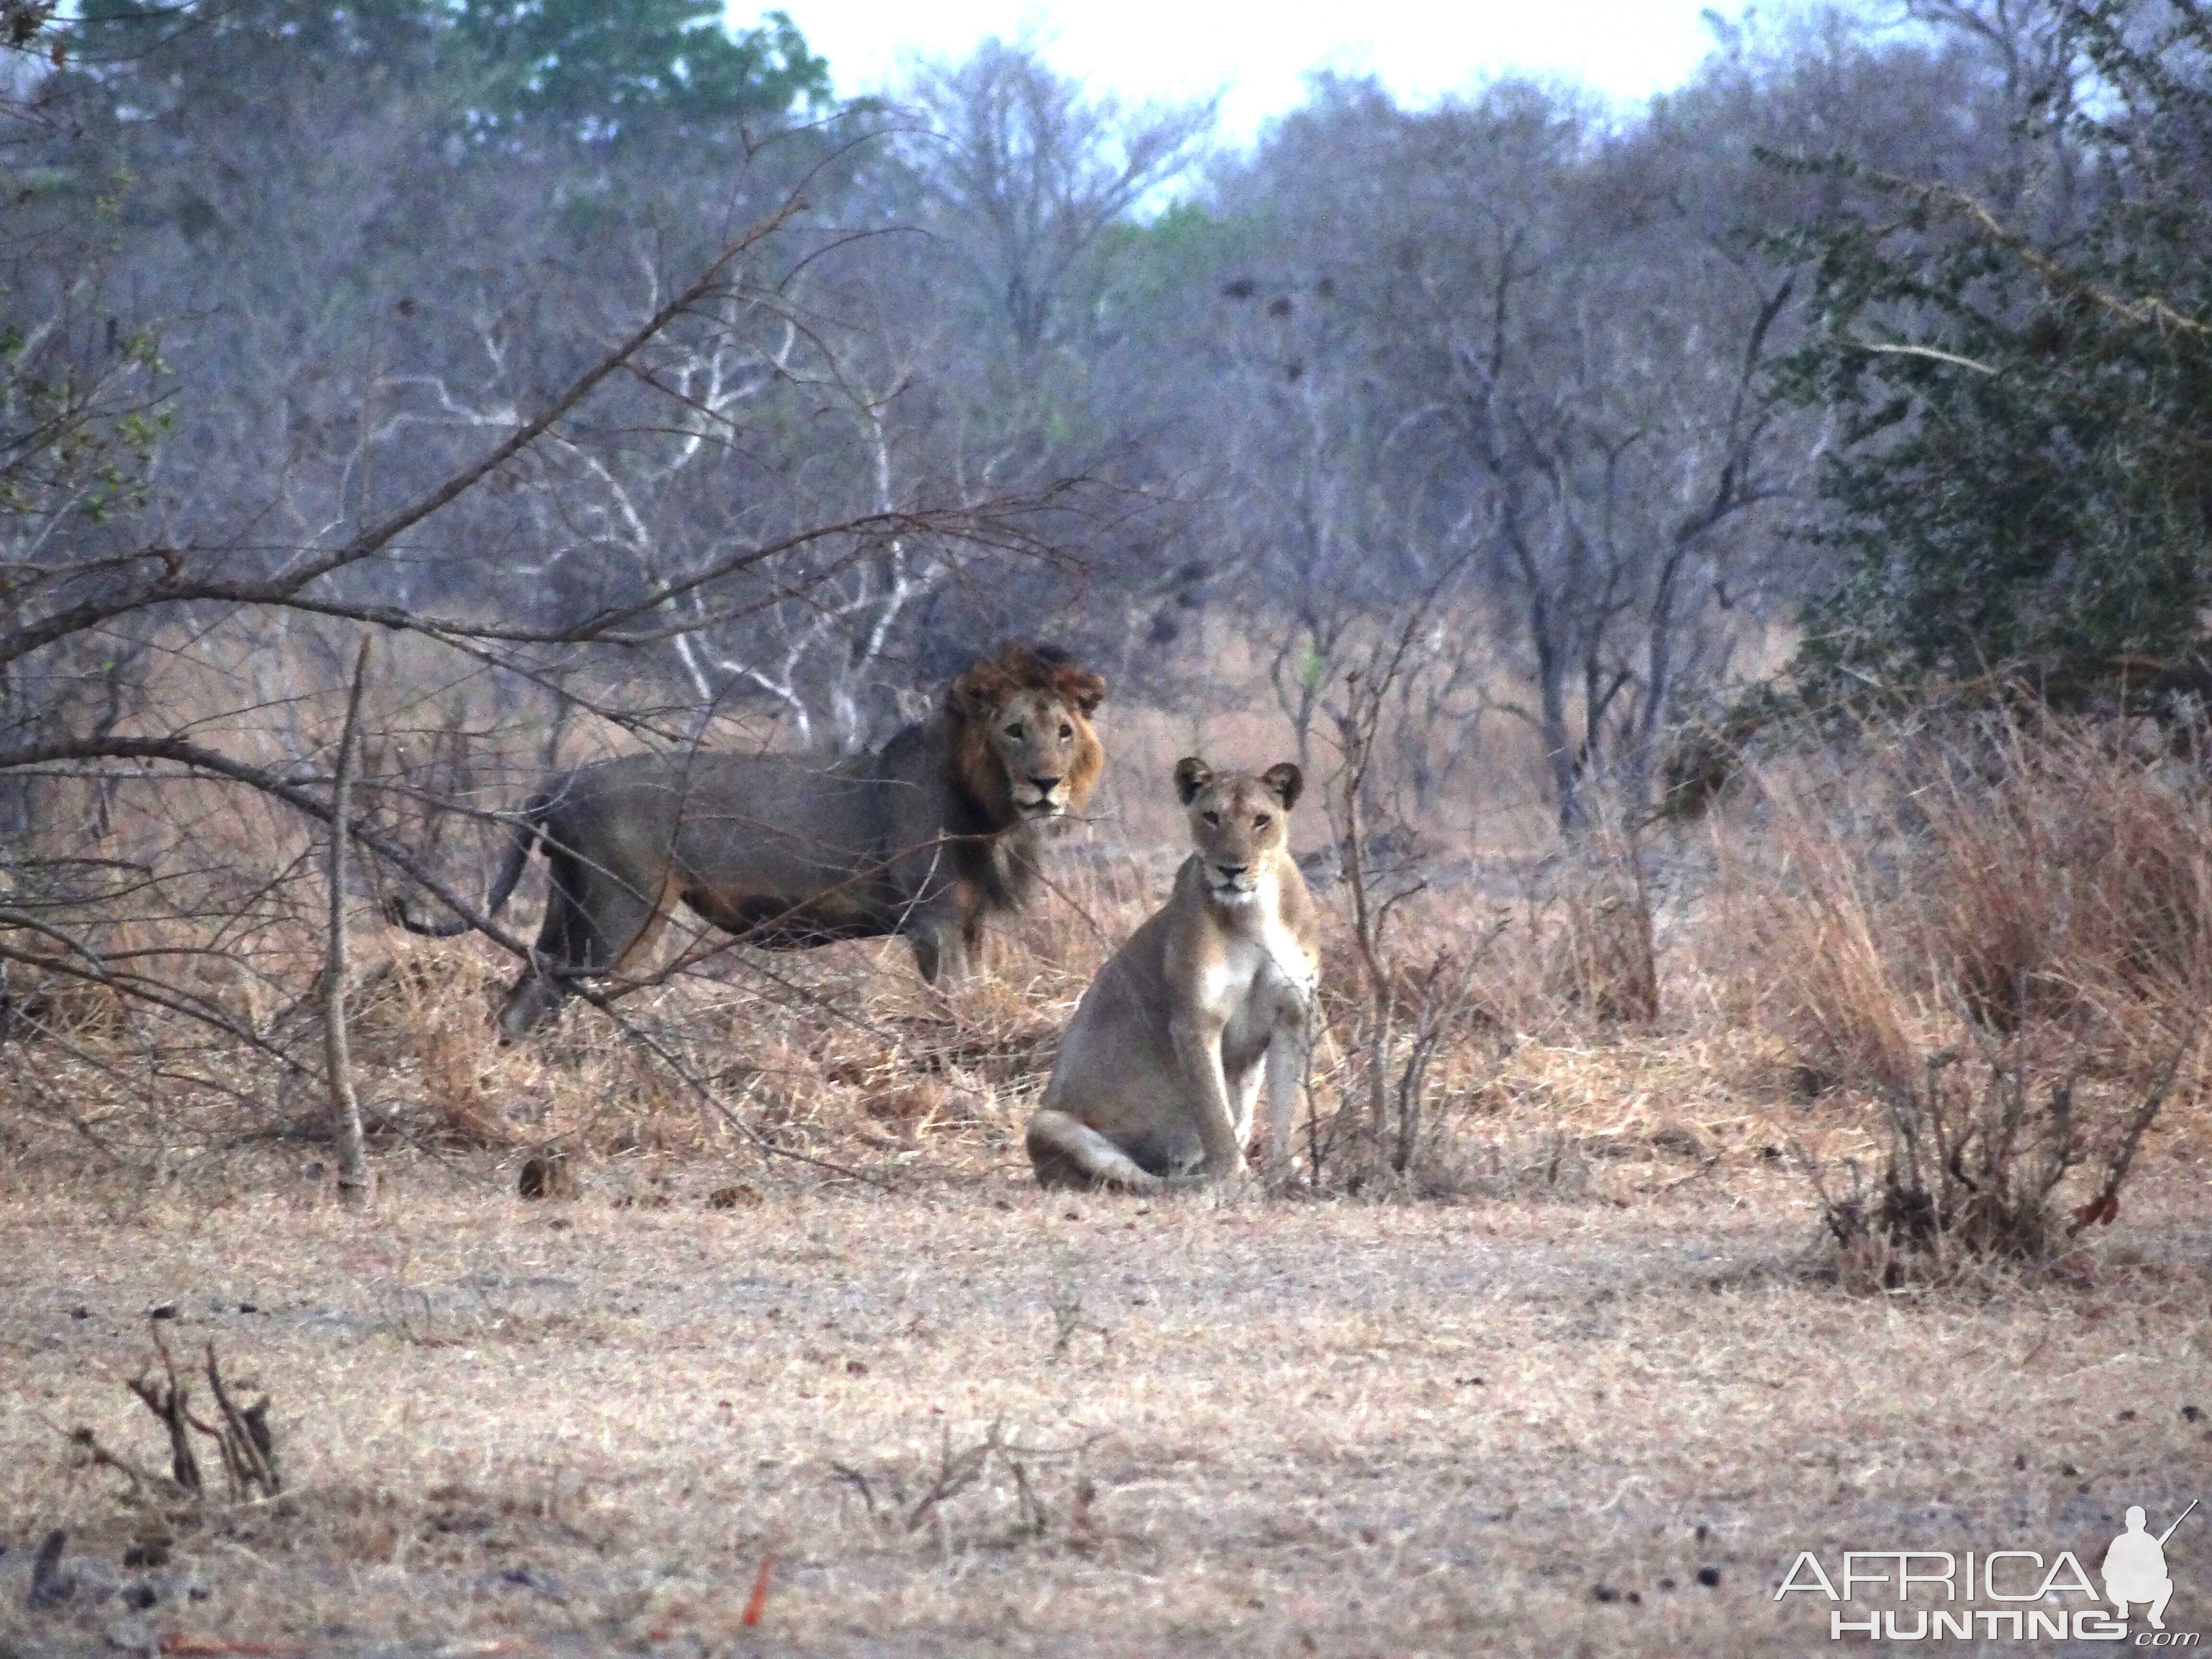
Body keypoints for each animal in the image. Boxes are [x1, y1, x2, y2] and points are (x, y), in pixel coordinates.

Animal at [387, 646, 1106, 1039]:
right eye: (1014, 731)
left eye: (1063, 732)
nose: (1047, 784)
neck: (994, 811)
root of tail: (562, 781)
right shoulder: (932, 923)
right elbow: (953, 1004)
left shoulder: (969, 924)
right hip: (620, 913)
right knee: (540, 999)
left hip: (570, 909)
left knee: (524, 995)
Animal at [1031, 752, 1318, 1194]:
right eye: (1212, 817)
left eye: (1261, 820)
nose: (1231, 869)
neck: (1252, 915)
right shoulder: (1195, 1021)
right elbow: (1214, 1114)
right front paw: (1235, 1179)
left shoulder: (1293, 1015)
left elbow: (1290, 1106)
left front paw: (1287, 1174)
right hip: (1046, 1122)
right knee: (1138, 1178)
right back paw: (1199, 1183)